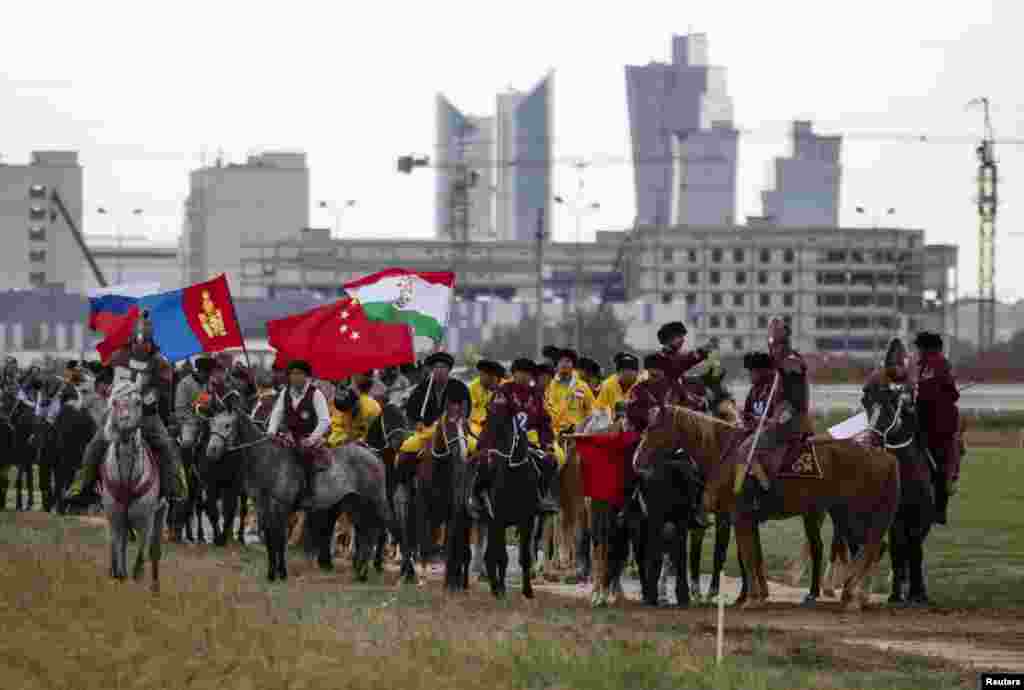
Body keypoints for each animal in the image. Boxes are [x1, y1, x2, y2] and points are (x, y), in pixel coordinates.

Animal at [100, 380, 166, 589]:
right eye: (114, 402)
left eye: (138, 402)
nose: (123, 421)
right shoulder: (115, 518)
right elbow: (117, 552)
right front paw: (117, 574)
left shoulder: (146, 520)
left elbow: (141, 557)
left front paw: (137, 575)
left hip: (161, 513)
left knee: (154, 551)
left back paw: (155, 586)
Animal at [207, 397, 395, 581]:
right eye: (212, 424)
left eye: (227, 425)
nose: (211, 451)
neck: (268, 459)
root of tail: (374, 455)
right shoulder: (263, 507)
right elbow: (270, 538)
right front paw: (272, 573)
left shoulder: (281, 507)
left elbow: (280, 539)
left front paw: (282, 573)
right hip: (354, 504)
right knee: (365, 534)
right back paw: (360, 572)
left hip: (375, 502)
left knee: (378, 532)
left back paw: (370, 570)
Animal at [634, 405, 901, 610]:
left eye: (652, 428)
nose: (637, 460)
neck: (726, 452)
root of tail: (884, 456)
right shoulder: (746, 519)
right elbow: (755, 555)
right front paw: (758, 595)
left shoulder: (739, 517)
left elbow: (749, 555)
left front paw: (751, 598)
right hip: (845, 515)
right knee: (873, 549)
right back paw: (854, 595)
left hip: (853, 514)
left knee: (870, 548)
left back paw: (852, 596)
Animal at [864, 376, 937, 601]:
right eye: (866, 403)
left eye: (889, 405)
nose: (871, 440)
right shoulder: (895, 517)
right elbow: (898, 548)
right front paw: (896, 593)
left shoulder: (921, 515)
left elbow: (915, 549)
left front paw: (918, 592)